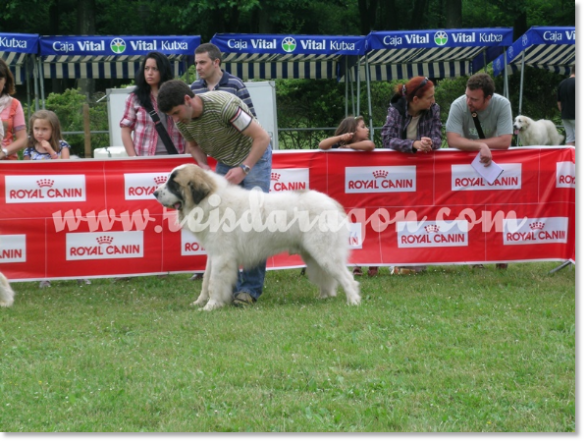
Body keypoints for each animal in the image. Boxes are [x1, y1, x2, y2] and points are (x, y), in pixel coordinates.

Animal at [153, 164, 358, 312]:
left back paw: (353, 301)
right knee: (326, 278)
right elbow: (206, 280)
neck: (209, 201)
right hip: (313, 255)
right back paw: (324, 297)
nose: (154, 193)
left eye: (173, 183)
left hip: (325, 254)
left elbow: (214, 282)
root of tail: (332, 203)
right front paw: (200, 302)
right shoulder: (213, 255)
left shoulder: (222, 257)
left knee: (347, 278)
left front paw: (211, 306)